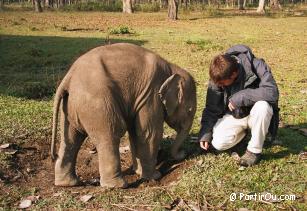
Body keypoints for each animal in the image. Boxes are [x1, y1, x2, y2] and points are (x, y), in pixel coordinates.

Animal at [50, 42, 197, 188]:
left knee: (71, 138)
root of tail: (68, 78)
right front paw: (154, 176)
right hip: (99, 106)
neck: (171, 68)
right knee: (110, 134)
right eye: (190, 110)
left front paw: (139, 172)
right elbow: (149, 133)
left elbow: (135, 132)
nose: (184, 153)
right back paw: (118, 185)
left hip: (70, 106)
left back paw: (67, 183)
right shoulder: (151, 94)